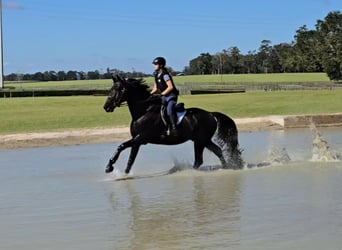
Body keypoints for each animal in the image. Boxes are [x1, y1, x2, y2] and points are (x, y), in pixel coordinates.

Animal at [103, 75, 242, 175]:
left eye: (118, 89)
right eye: (111, 89)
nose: (106, 107)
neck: (143, 111)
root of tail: (211, 114)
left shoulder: (141, 138)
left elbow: (121, 146)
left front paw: (109, 167)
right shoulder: (137, 141)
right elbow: (131, 159)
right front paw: (124, 175)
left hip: (200, 141)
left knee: (201, 159)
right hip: (202, 140)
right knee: (215, 152)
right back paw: (225, 167)